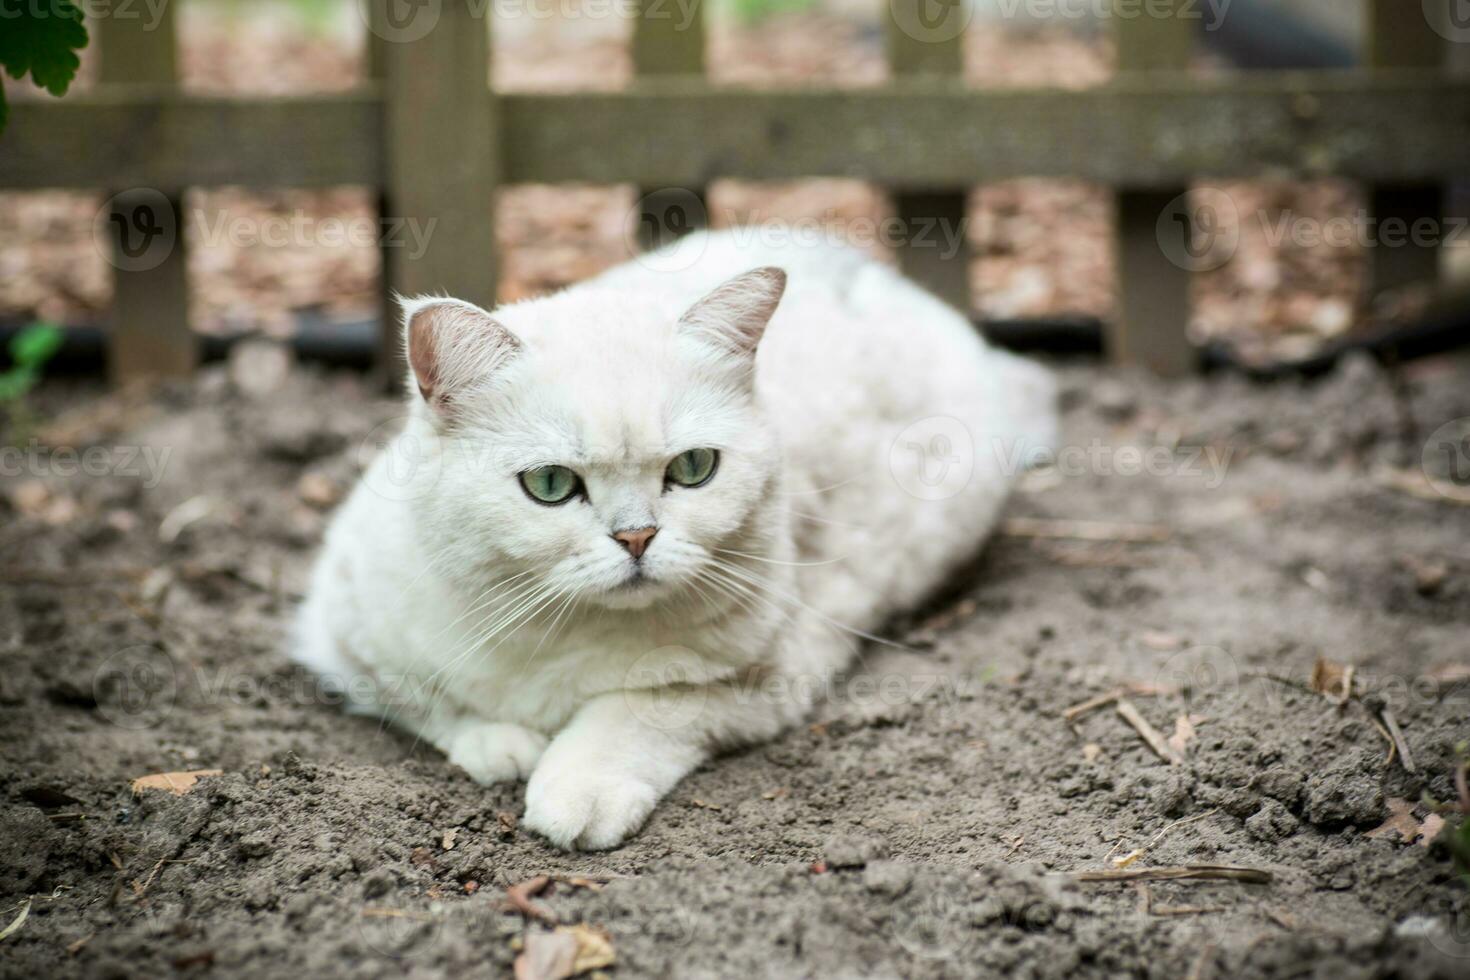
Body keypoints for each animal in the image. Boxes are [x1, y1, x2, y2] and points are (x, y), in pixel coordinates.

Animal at [295, 232, 1058, 852]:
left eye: (693, 468)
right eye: (550, 484)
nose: (637, 537)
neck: (563, 632)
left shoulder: (775, 670)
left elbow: (639, 709)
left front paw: (574, 786)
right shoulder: (339, 633)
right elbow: (428, 702)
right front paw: (500, 745)